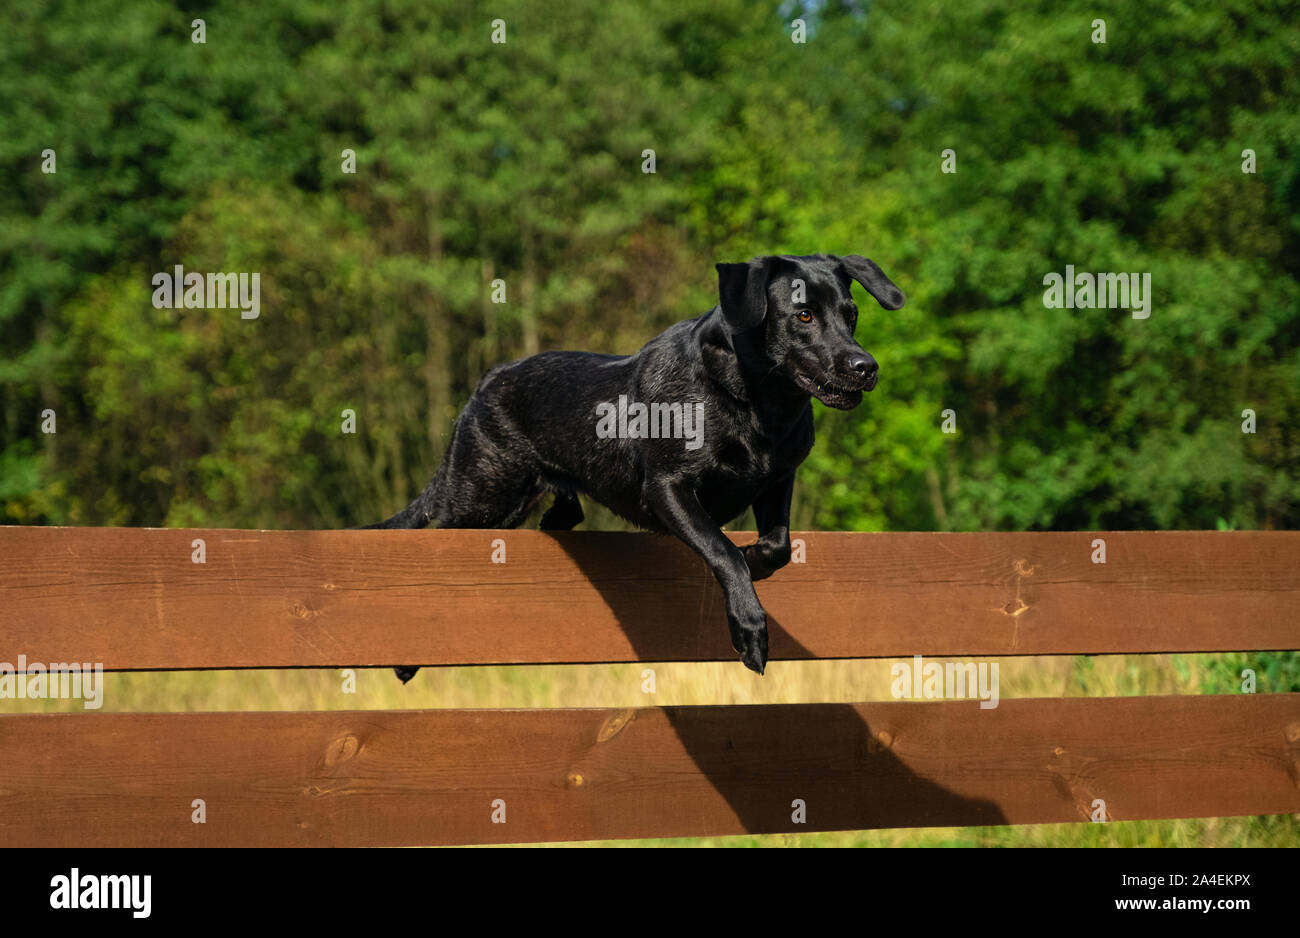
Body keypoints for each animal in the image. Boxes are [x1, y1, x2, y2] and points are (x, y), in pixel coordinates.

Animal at [366, 253, 904, 680]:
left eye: (852, 315)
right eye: (804, 315)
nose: (866, 366)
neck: (753, 400)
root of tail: (485, 381)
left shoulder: (777, 480)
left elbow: (777, 547)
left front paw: (755, 560)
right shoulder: (667, 488)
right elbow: (722, 550)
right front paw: (749, 627)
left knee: (563, 514)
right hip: (481, 496)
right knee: (434, 532)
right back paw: (405, 658)